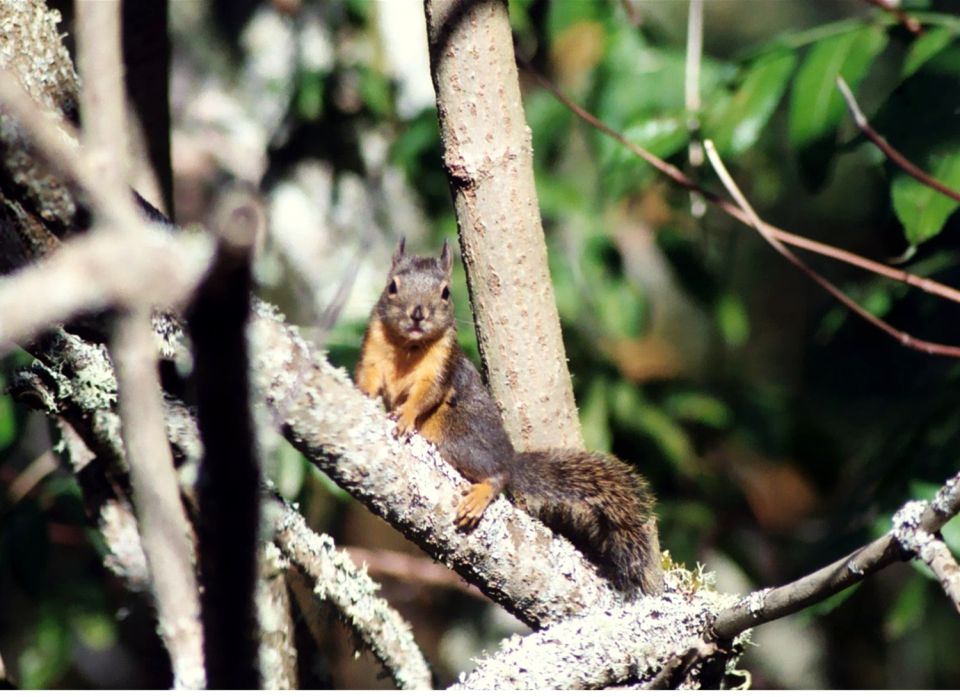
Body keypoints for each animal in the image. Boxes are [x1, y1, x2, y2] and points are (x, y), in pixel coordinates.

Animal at [355, 239, 663, 595]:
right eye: (392, 286)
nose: (418, 313)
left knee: (497, 474)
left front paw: (405, 416)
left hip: (458, 439)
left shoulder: (441, 368)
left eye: (446, 292)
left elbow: (425, 396)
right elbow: (368, 378)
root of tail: (510, 456)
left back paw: (482, 491)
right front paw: (360, 392)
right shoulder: (374, 351)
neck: (408, 347)